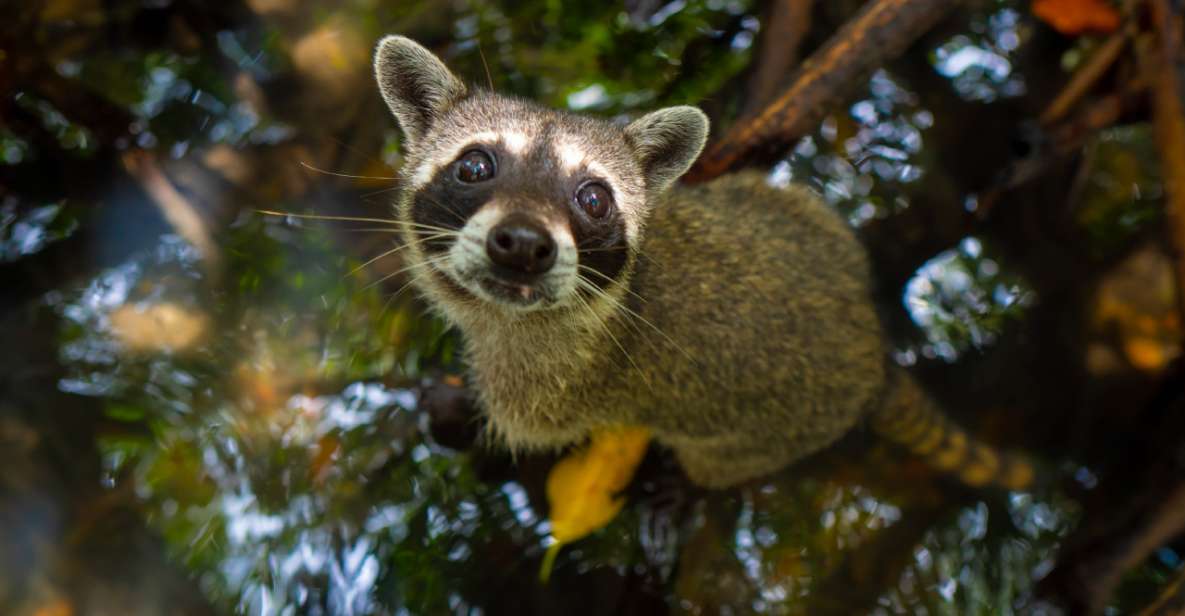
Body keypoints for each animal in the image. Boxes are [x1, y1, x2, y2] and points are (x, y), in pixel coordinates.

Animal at [374, 36, 1033, 488]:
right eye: (475, 166)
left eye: (593, 199)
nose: (523, 243)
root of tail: (874, 350)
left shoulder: (546, 391)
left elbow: (523, 439)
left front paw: (457, 413)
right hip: (805, 215)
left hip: (767, 438)